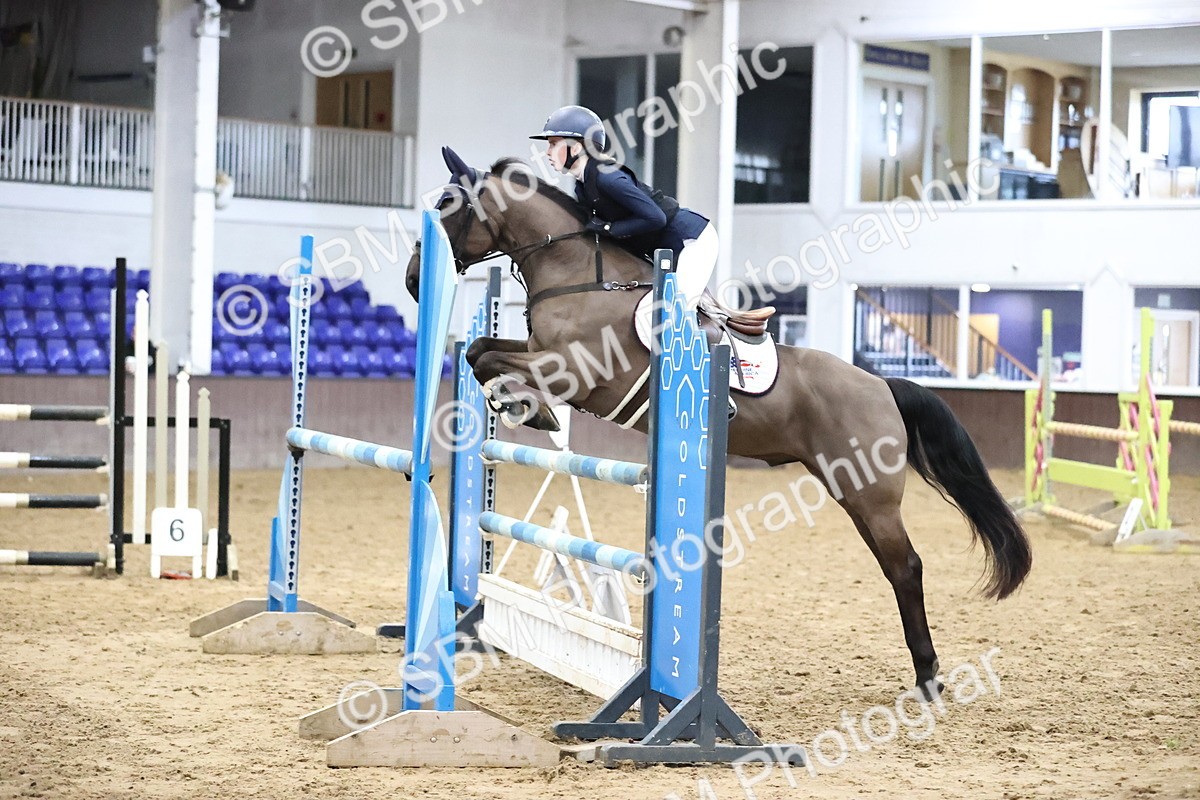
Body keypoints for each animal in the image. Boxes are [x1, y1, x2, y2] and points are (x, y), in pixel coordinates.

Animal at [405, 150, 1032, 698]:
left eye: (449, 204)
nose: (414, 279)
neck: (577, 275)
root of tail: (882, 386)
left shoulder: (575, 373)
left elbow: (494, 360)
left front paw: (529, 407)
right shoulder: (538, 353)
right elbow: (480, 351)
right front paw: (519, 406)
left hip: (869, 494)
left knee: (906, 568)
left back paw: (928, 677)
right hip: (850, 486)